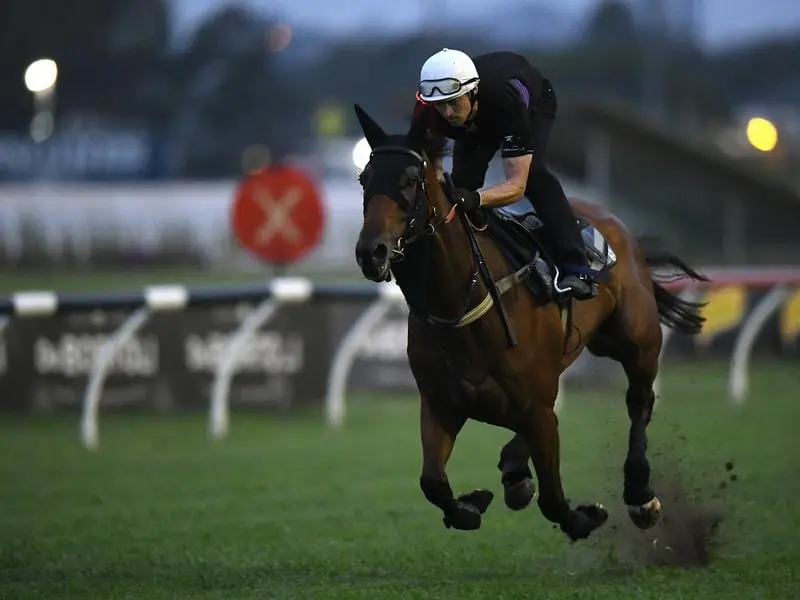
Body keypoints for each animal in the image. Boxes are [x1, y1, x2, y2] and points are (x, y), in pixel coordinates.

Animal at [350, 104, 708, 544]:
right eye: (365, 178)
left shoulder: (535, 408)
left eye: (409, 180)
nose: (371, 251)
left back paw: (639, 494)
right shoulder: (440, 404)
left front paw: (585, 517)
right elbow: (432, 483)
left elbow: (553, 499)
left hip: (636, 341)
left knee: (639, 401)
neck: (459, 306)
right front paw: (472, 503)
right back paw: (515, 469)